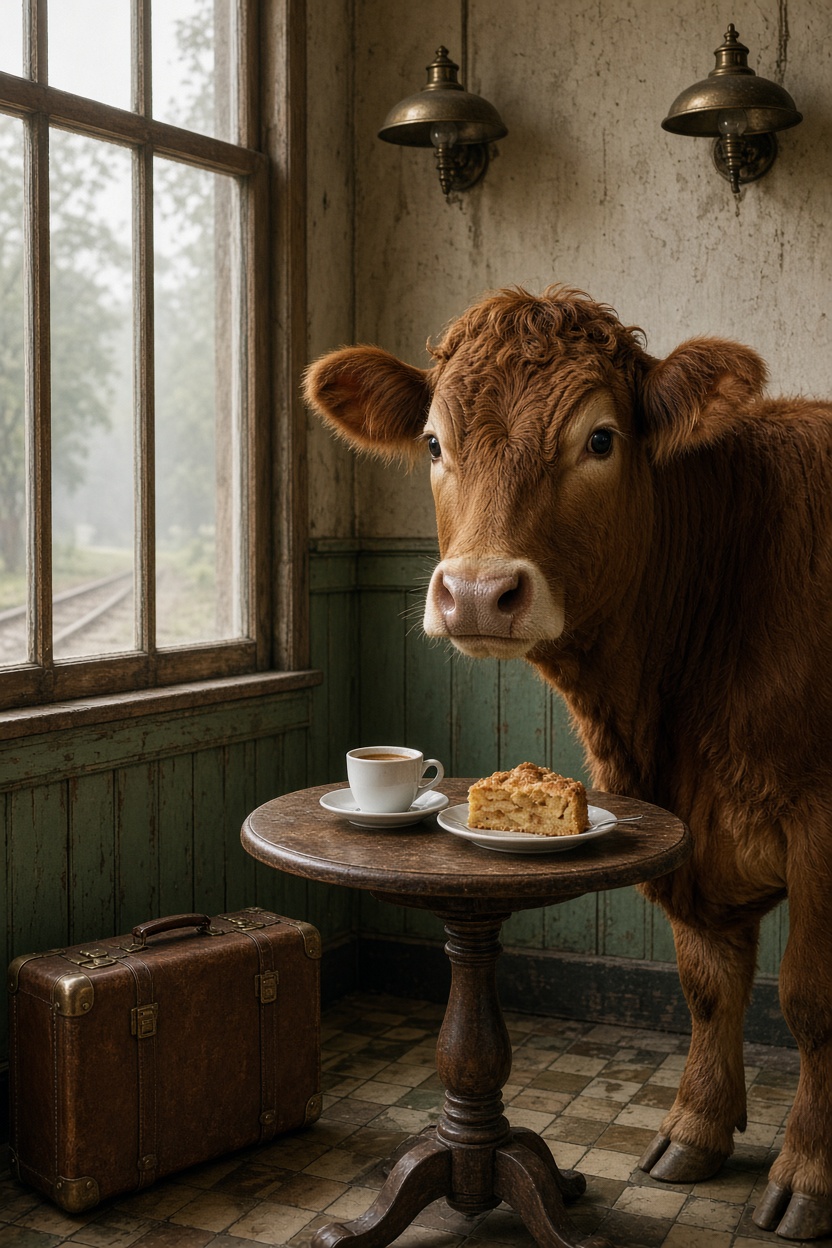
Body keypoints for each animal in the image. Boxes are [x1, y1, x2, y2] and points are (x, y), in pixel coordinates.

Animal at [303, 287, 832, 1241]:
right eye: (432, 443)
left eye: (600, 440)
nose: (477, 592)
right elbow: (707, 984)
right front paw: (694, 1132)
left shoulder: (820, 819)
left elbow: (810, 1002)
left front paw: (808, 1175)